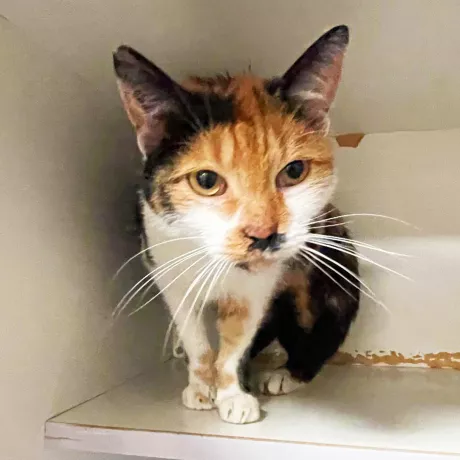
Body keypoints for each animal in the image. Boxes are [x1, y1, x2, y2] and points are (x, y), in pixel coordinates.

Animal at [113, 25, 360, 424]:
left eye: (295, 171)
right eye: (206, 180)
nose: (263, 235)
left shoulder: (256, 291)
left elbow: (235, 340)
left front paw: (232, 393)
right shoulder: (168, 270)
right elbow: (196, 340)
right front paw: (201, 387)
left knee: (321, 326)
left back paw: (287, 374)